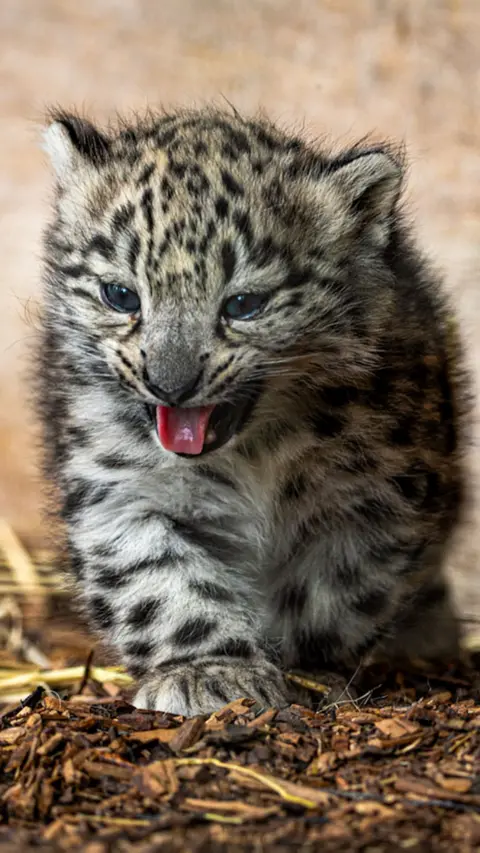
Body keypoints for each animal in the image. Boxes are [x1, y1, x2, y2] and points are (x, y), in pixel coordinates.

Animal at [36, 105, 470, 716]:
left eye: (244, 305)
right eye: (120, 296)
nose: (169, 384)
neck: (256, 453)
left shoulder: (376, 500)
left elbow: (334, 592)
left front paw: (307, 668)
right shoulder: (121, 492)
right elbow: (157, 583)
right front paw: (209, 672)